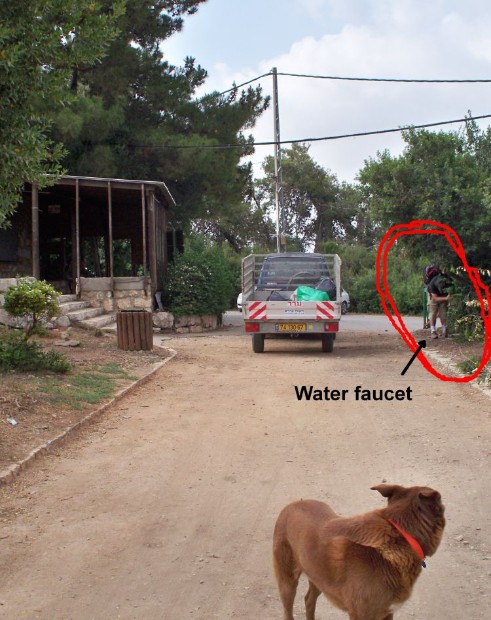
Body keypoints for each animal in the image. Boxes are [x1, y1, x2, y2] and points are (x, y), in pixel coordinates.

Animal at [272, 484, 446, 620]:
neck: (400, 534)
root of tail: (293, 504)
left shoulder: (387, 613)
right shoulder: (361, 615)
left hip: (318, 576)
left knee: (309, 600)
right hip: (288, 581)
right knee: (288, 610)